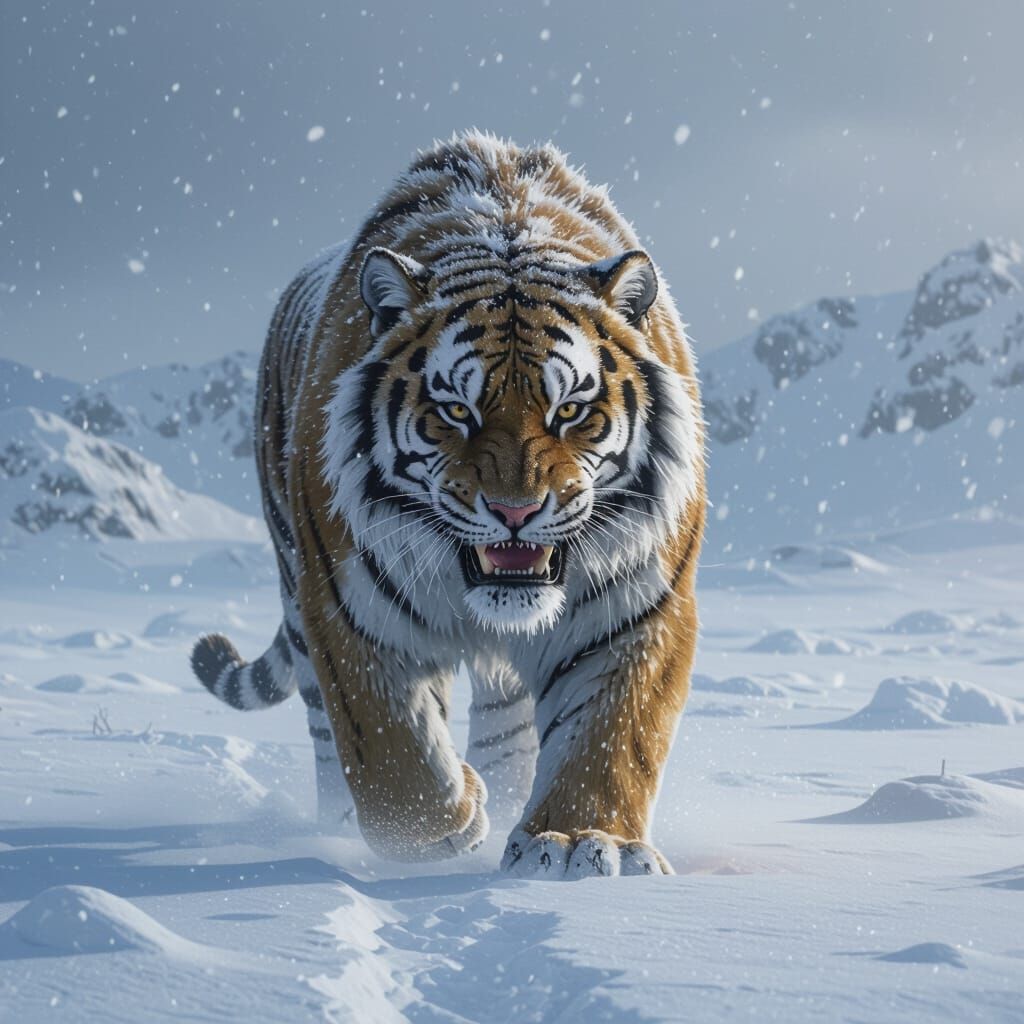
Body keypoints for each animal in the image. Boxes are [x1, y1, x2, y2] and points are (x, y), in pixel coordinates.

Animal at [190, 131, 705, 879]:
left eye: (570, 410)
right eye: (456, 411)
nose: (516, 511)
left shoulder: (636, 601)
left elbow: (612, 736)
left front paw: (580, 843)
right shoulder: (348, 604)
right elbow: (388, 746)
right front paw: (439, 826)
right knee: (327, 735)